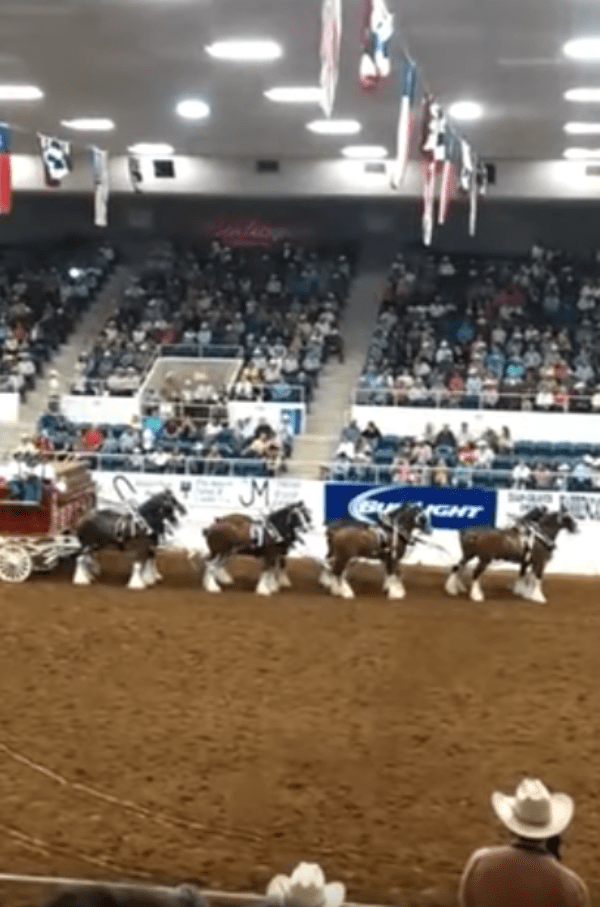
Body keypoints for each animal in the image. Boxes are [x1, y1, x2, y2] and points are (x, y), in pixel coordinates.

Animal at [446, 508, 576, 608]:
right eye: (567, 518)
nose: (576, 528)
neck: (539, 537)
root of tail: (471, 533)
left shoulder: (527, 562)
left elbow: (525, 575)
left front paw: (523, 592)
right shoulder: (539, 562)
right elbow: (538, 578)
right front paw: (538, 597)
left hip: (468, 555)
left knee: (456, 567)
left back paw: (453, 588)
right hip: (484, 559)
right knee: (475, 574)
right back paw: (476, 595)